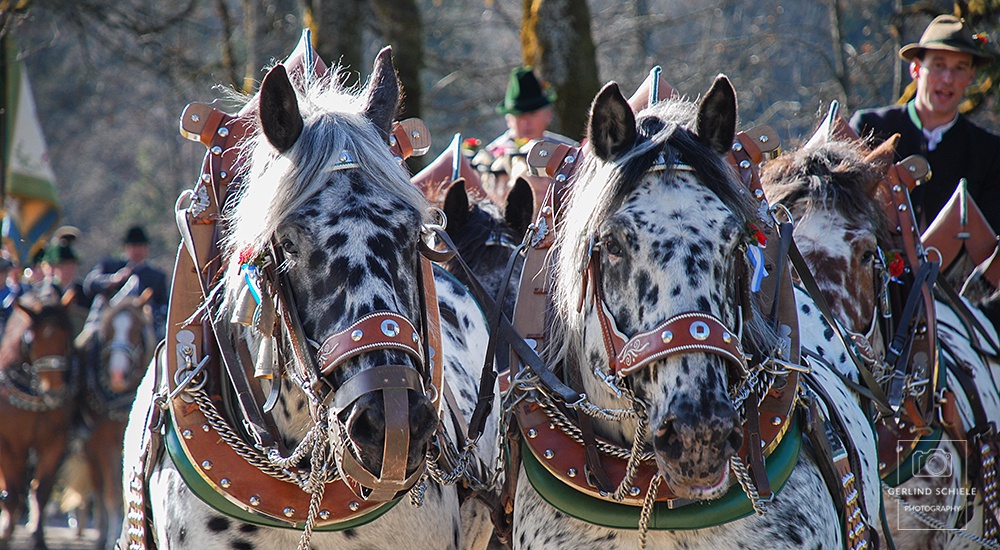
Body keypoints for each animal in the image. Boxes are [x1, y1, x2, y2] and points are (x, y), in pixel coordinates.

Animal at [0, 286, 77, 548]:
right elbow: (12, 491)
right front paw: (5, 533)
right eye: (31, 341)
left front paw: (38, 538)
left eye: (67, 338)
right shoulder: (8, 444)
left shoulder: (54, 441)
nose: (54, 393)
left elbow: (41, 490)